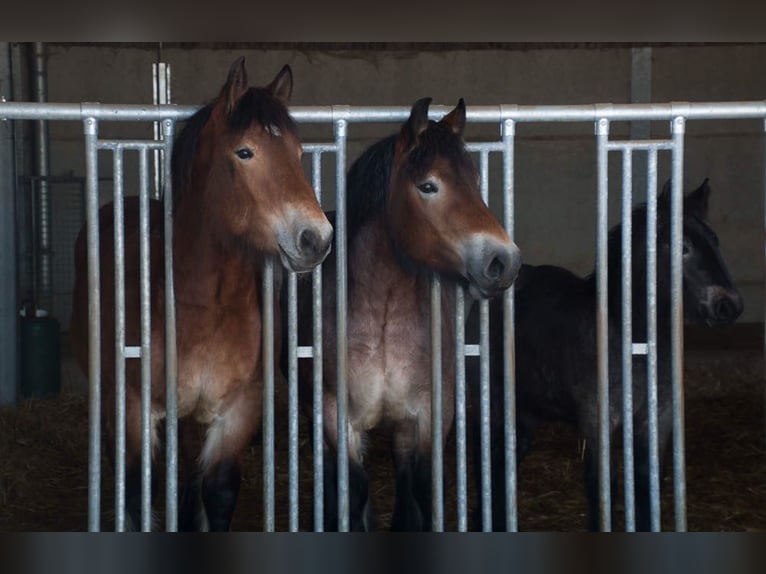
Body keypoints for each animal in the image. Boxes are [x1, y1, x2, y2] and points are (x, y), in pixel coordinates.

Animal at [71, 59, 332, 536]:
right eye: (245, 153)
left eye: (299, 153)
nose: (316, 239)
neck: (206, 304)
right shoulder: (133, 407)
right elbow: (139, 491)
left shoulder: (239, 410)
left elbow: (219, 491)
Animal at [292, 97, 520, 532]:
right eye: (428, 185)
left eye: (475, 178)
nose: (504, 261)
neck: (383, 311)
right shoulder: (334, 415)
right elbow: (354, 491)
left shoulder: (431, 414)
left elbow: (420, 491)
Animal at [468, 178, 744, 532]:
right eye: (682, 247)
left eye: (715, 241)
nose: (729, 306)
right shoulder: (597, 425)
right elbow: (603, 490)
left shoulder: (656, 423)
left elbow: (647, 488)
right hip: (492, 404)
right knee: (486, 464)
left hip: (527, 412)